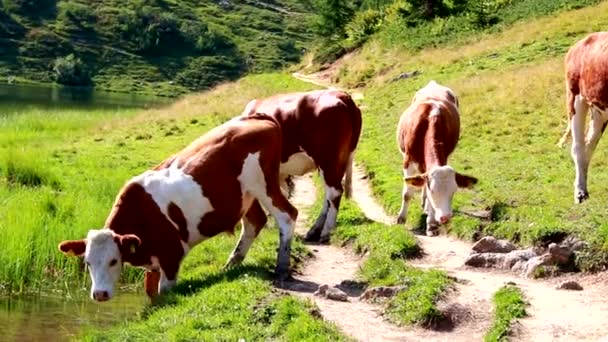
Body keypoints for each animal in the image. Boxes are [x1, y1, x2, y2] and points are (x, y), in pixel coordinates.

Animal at [55, 115, 298, 302]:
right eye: (87, 262)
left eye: (113, 261)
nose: (100, 294)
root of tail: (257, 117)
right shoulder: (153, 264)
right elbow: (150, 293)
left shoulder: (172, 255)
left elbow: (164, 293)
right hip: (246, 195)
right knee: (255, 222)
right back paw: (232, 263)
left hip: (264, 184)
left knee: (287, 215)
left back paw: (282, 266)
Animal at [240, 89, 360, 243]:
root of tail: (341, 95)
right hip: (338, 161)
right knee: (329, 195)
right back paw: (314, 231)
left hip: (328, 160)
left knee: (334, 192)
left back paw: (326, 232)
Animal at [396, 80, 478, 236]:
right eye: (433, 190)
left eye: (453, 191)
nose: (445, 217)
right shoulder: (408, 161)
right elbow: (407, 193)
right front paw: (401, 218)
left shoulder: (444, 157)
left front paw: (431, 224)